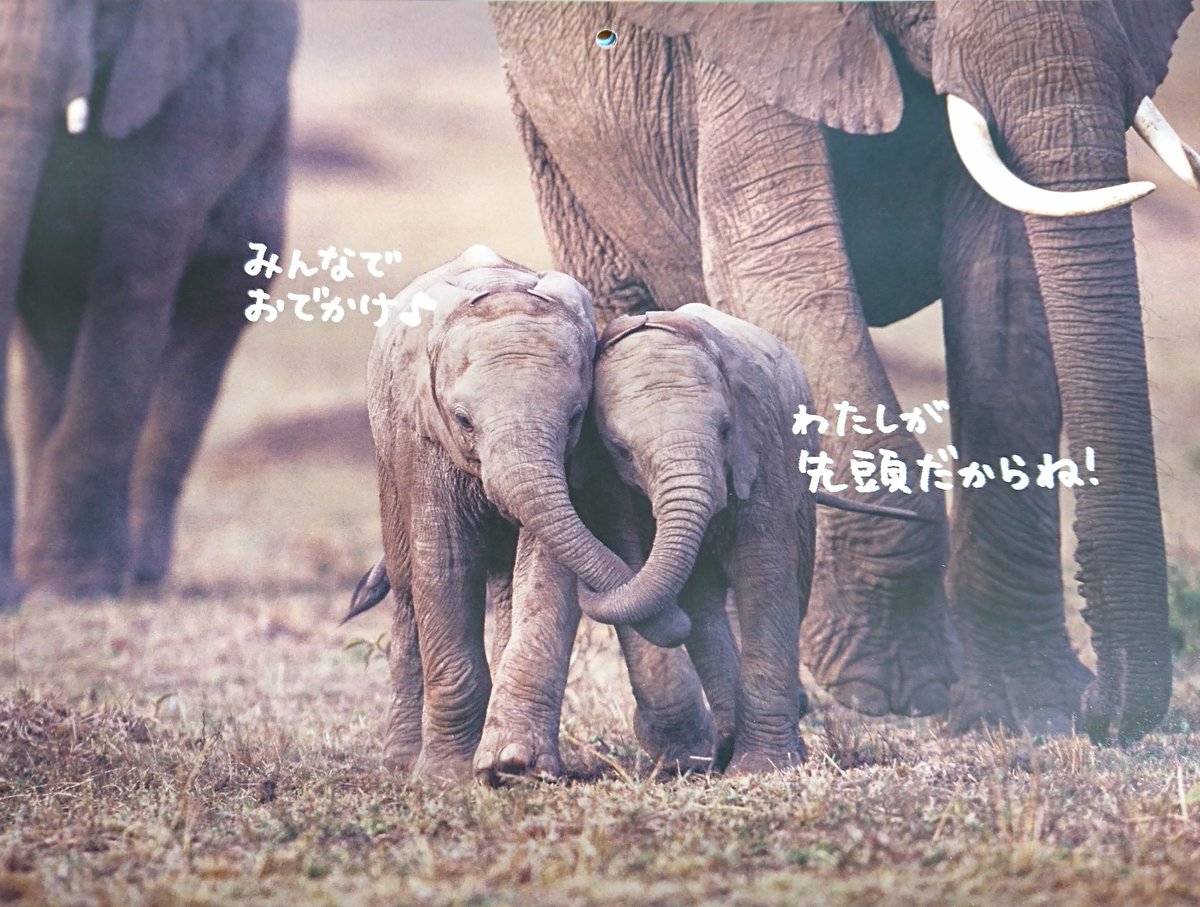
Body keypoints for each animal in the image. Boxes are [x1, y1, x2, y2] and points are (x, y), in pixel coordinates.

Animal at [357, 245, 694, 784]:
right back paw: (401, 763)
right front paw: (448, 776)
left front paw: (515, 766)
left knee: (505, 586)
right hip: (386, 454)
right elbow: (447, 568)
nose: (680, 620)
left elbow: (545, 571)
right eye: (463, 420)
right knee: (408, 583)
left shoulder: (573, 459)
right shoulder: (422, 438)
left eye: (576, 416)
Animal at [488, 1, 1200, 743]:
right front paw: (895, 688)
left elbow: (1010, 295)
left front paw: (1035, 709)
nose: (1106, 717)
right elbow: (784, 270)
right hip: (552, 139)